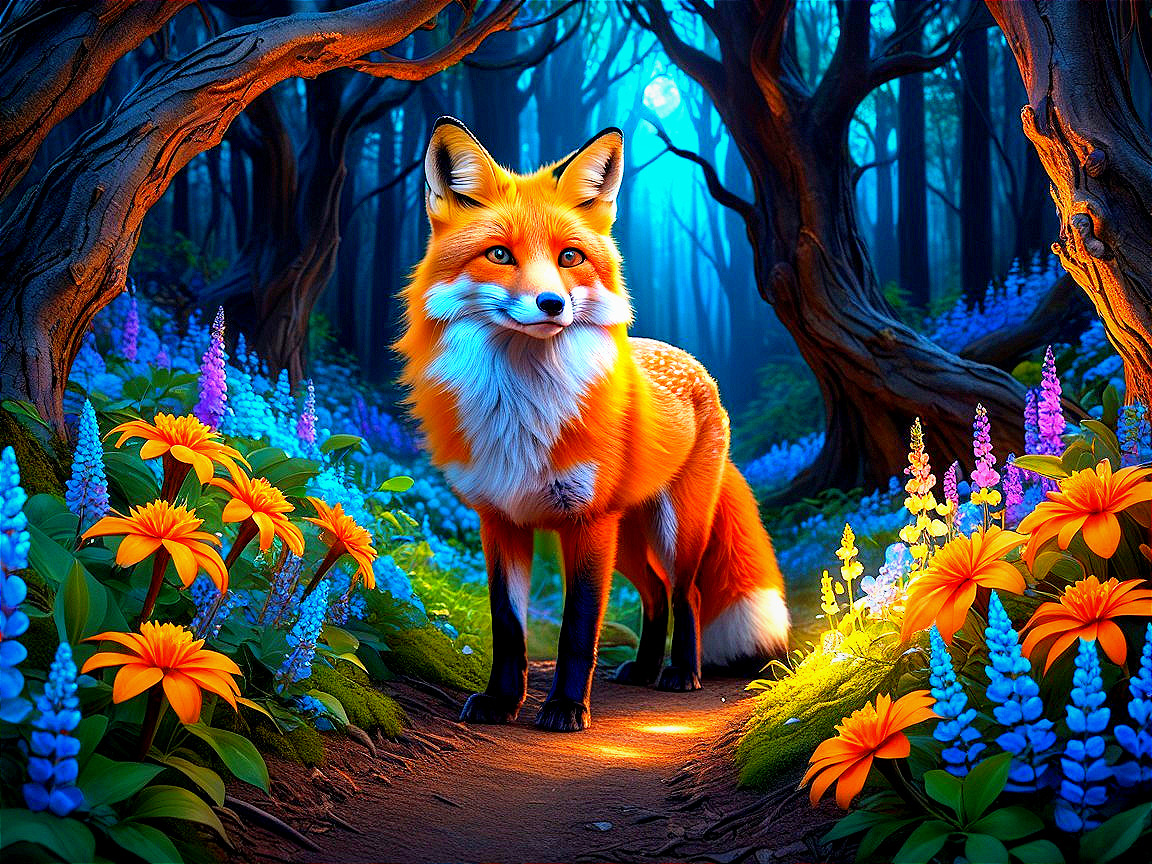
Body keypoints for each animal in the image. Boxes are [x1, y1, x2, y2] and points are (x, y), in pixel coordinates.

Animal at [395, 117, 789, 732]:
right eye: (499, 255)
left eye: (570, 257)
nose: (551, 303)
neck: (522, 413)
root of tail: (695, 365)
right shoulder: (500, 520)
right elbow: (508, 628)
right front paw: (502, 702)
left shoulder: (587, 523)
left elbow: (578, 629)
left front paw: (563, 708)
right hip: (627, 542)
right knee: (654, 595)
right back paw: (645, 668)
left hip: (674, 531)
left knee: (687, 594)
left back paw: (681, 673)